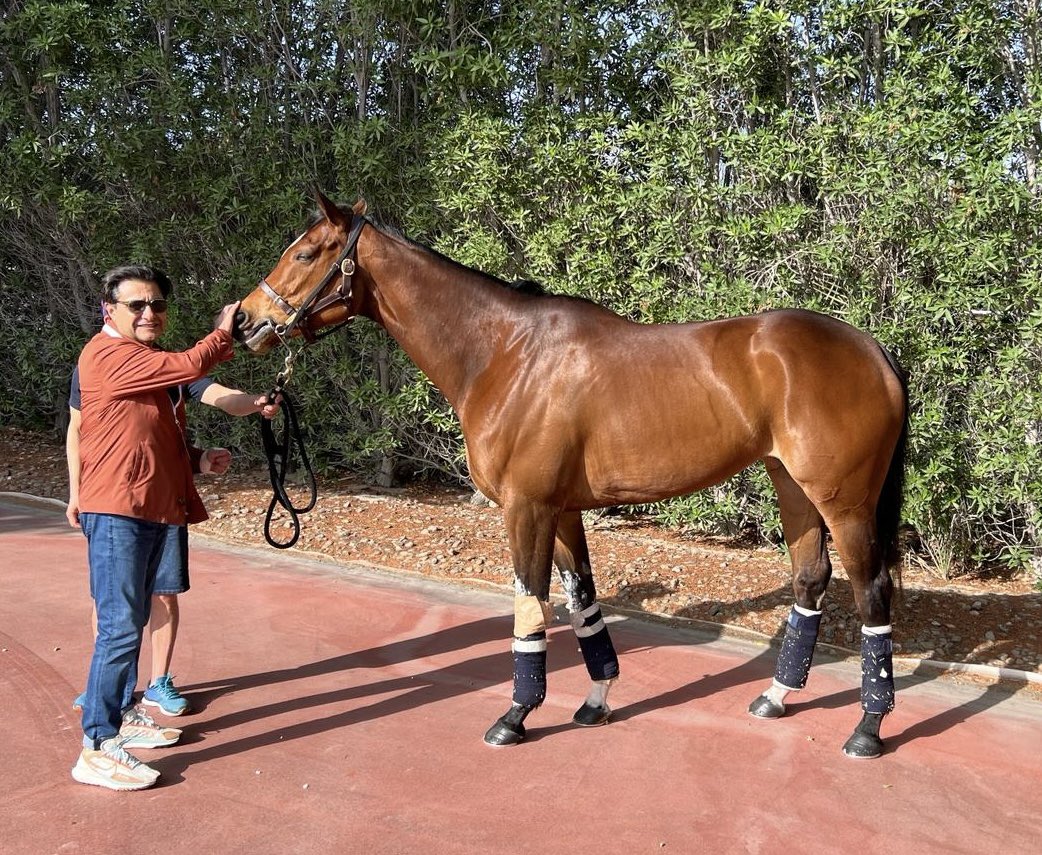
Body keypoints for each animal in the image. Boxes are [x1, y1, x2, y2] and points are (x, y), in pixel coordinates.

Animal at [234, 191, 904, 753]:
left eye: (307, 251)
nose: (241, 320)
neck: (504, 354)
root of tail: (872, 349)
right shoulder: (562, 510)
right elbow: (582, 603)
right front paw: (596, 700)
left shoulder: (526, 507)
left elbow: (529, 606)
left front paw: (514, 716)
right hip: (793, 486)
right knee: (810, 580)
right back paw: (776, 696)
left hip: (844, 500)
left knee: (871, 592)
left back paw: (868, 728)